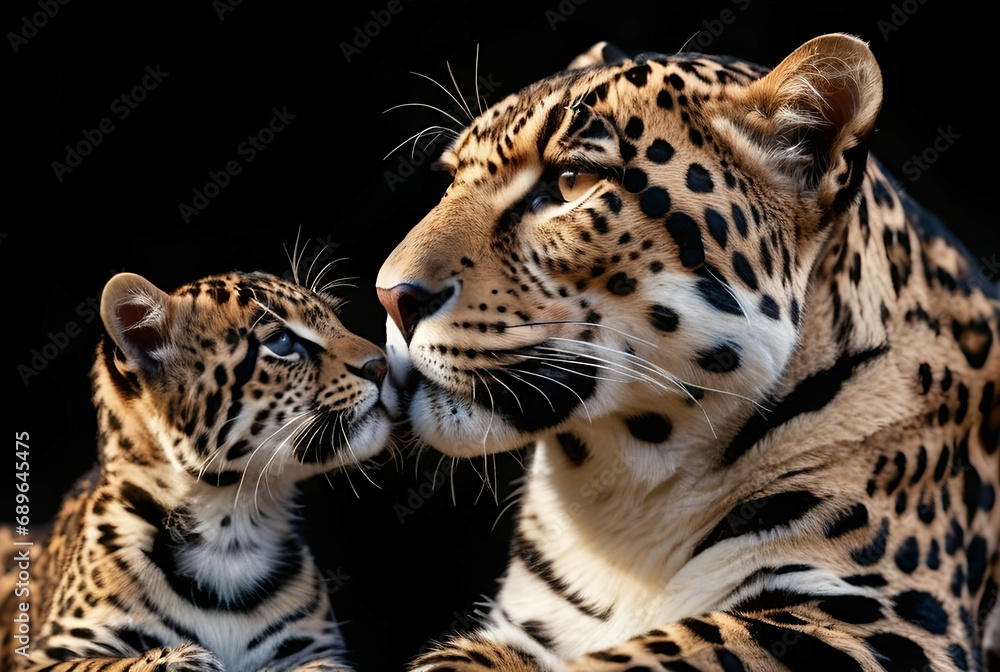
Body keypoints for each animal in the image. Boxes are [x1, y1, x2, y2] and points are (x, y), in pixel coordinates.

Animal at [1, 269, 390, 671]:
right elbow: (109, 663)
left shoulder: (317, 651)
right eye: (281, 343)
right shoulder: (42, 656)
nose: (382, 365)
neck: (232, 525)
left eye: (335, 319)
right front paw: (182, 659)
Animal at [375, 34, 1000, 671]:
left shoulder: (885, 619)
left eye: (572, 180)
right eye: (453, 178)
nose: (390, 295)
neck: (620, 506)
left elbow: (675, 646)